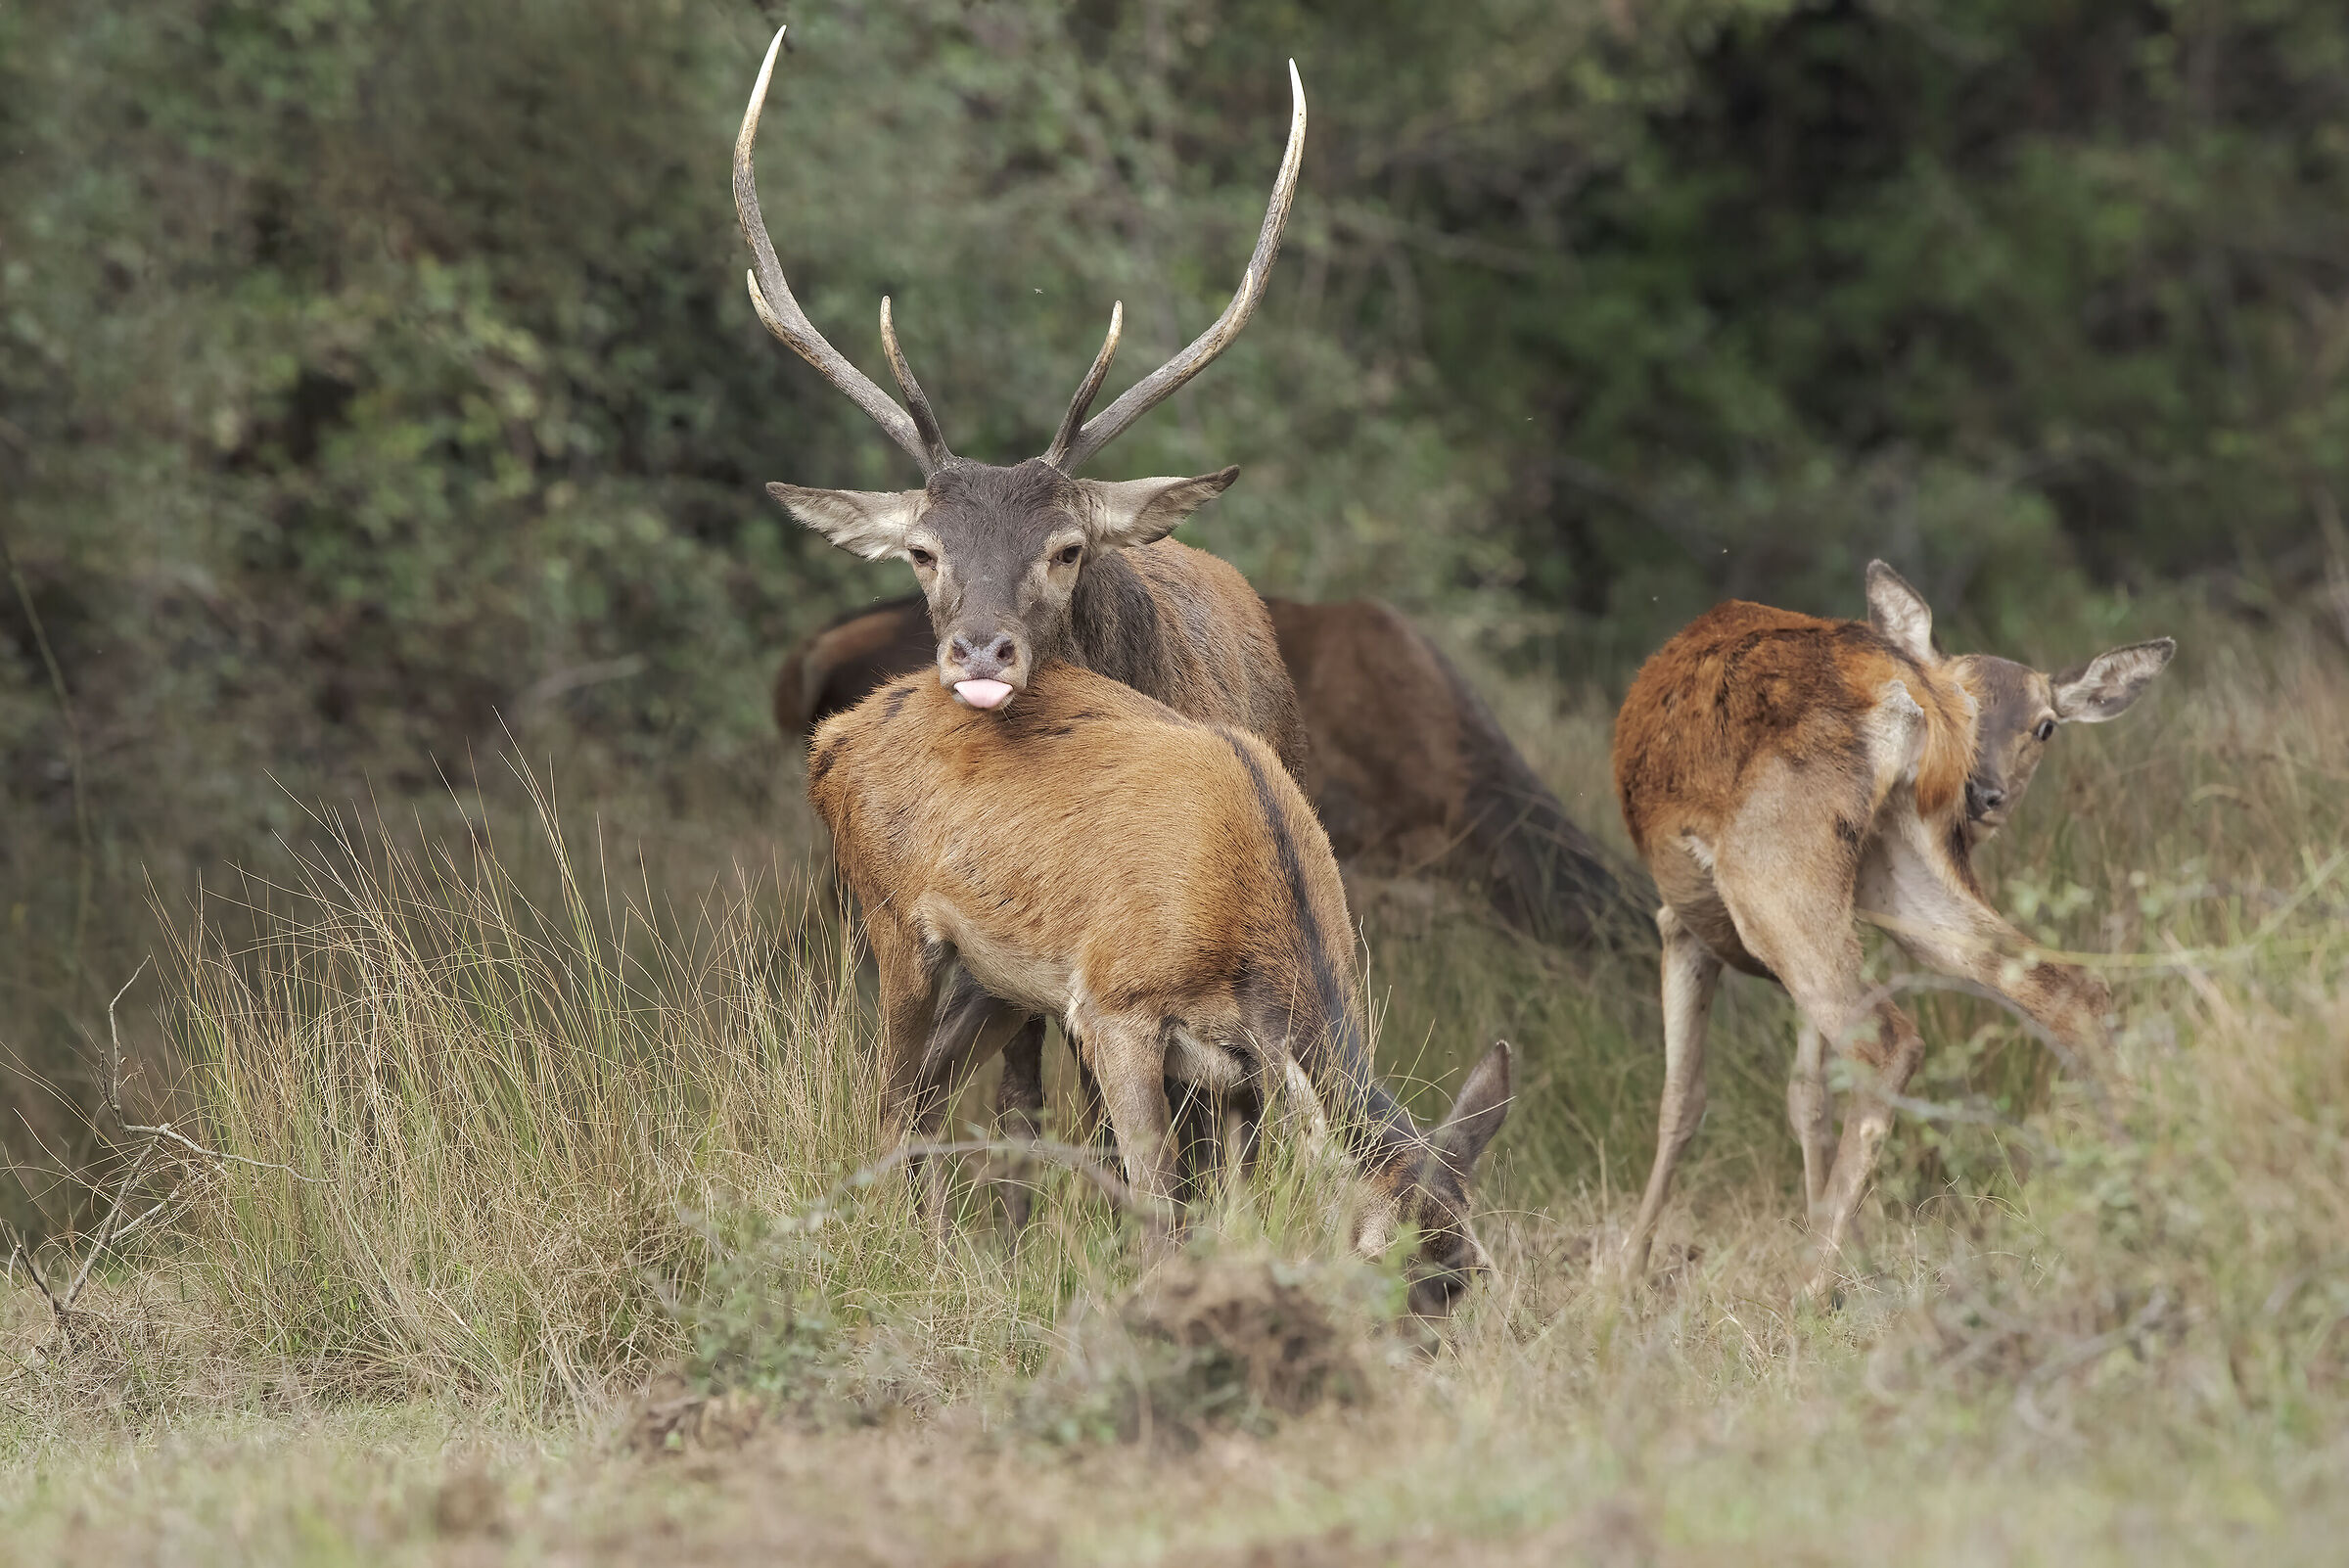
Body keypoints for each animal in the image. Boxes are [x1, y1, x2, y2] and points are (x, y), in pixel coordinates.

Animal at [807, 658, 1515, 1318]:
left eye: (1467, 1278)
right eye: (1369, 1252)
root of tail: (831, 741)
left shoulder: (1245, 1070)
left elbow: (1233, 1207)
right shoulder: (1114, 1007)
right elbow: (1158, 1203)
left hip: (1001, 978)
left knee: (929, 1089)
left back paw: (948, 1256)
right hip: (895, 920)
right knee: (891, 1094)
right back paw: (906, 1248)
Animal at [1610, 560, 2174, 1292]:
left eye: (2047, 726)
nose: (1986, 794)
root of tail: (1904, 697)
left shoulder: (1680, 920)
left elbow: (1681, 1100)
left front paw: (1624, 1275)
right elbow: (1805, 1094)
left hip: (1772, 875)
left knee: (1887, 1041)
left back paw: (1809, 1287)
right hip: (1900, 863)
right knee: (2069, 986)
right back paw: (2139, 1200)